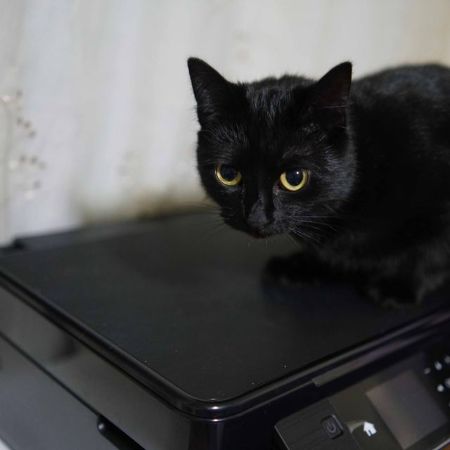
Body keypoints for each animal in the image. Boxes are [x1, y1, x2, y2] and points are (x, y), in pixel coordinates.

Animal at [188, 57, 450, 307]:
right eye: (228, 174)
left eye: (294, 178)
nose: (256, 218)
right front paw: (303, 266)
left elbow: (431, 251)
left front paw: (397, 286)